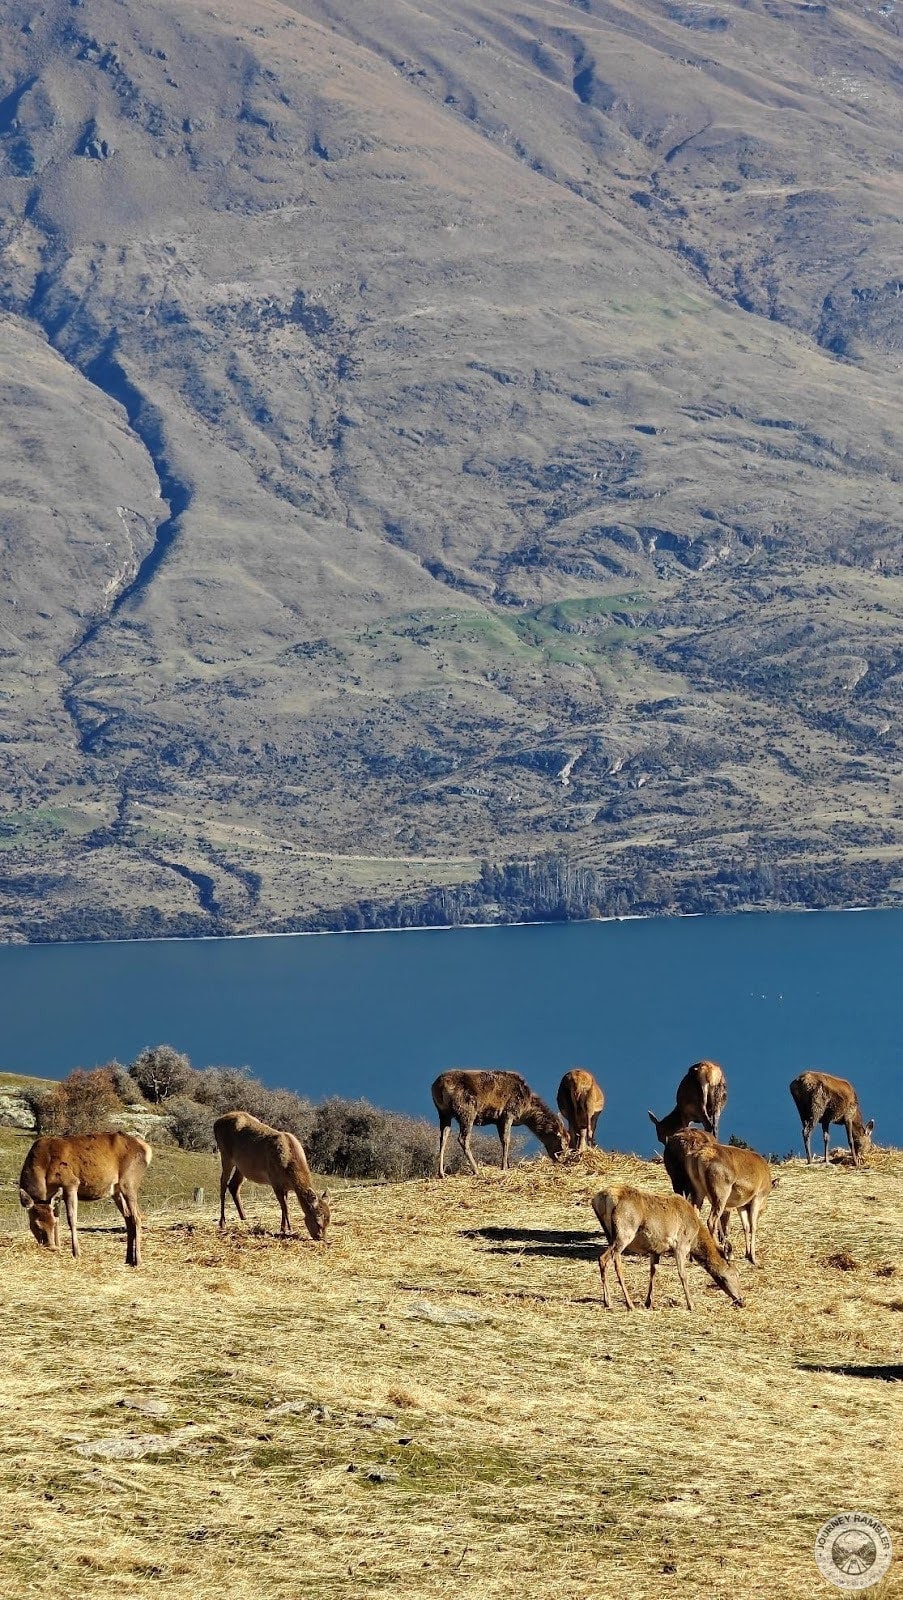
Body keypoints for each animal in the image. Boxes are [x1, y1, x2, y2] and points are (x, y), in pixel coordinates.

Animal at [19, 1132, 152, 1267]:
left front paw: (76, 1253)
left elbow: (71, 1218)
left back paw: (138, 1261)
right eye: (36, 1225)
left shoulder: (70, 1183)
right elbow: (58, 1215)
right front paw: (59, 1246)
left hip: (129, 1181)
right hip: (116, 1190)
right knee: (128, 1217)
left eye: (51, 1224)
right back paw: (128, 1259)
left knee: (137, 1217)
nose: (51, 1247)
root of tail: (147, 1148)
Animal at [214, 1111, 329, 1240]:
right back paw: (222, 1222)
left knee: (234, 1185)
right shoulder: (275, 1181)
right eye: (317, 1221)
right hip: (225, 1154)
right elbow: (285, 1208)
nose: (321, 1237)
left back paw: (244, 1217)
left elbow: (284, 1206)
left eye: (328, 1221)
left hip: (242, 1167)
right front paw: (289, 1229)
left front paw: (283, 1228)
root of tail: (216, 1122)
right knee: (223, 1183)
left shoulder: (285, 1186)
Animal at [431, 1070, 568, 1178]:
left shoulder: (498, 1120)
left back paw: (441, 1173)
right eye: (565, 1141)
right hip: (466, 1110)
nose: (562, 1159)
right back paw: (476, 1170)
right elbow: (507, 1140)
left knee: (443, 1137)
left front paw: (507, 1164)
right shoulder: (508, 1112)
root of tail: (439, 1086)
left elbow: (502, 1140)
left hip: (443, 1112)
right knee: (463, 1138)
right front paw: (504, 1167)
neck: (526, 1111)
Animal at [590, 1185, 743, 1311]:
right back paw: (615, 1302)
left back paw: (618, 1301)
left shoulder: (656, 1248)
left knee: (616, 1263)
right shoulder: (681, 1245)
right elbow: (683, 1274)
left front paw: (649, 1302)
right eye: (736, 1273)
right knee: (603, 1259)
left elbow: (653, 1272)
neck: (695, 1236)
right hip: (624, 1232)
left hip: (610, 1235)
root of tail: (601, 1199)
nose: (742, 1300)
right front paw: (691, 1304)